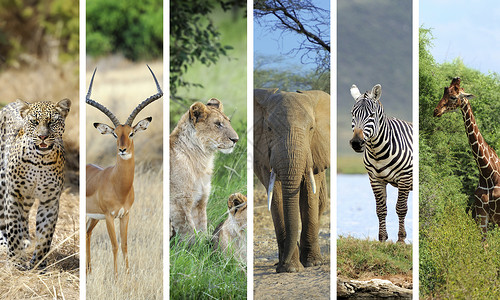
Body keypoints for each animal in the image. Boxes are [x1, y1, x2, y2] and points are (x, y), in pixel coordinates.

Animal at [0, 99, 71, 270]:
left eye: (52, 122)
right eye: (34, 122)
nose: (43, 136)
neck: (40, 161)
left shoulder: (50, 201)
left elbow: (45, 234)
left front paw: (39, 264)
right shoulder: (14, 195)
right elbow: (13, 227)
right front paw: (16, 261)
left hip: (28, 198)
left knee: (24, 217)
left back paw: (26, 239)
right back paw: (4, 244)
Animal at [170, 98, 240, 241]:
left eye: (228, 122)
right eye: (218, 124)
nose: (235, 139)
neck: (201, 159)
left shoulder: (200, 201)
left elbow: (202, 227)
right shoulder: (178, 203)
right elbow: (190, 234)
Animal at [254, 88, 328, 274]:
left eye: (311, 128)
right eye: (269, 128)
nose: (281, 265)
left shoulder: (315, 150)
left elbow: (309, 194)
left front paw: (312, 263)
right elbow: (276, 195)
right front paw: (290, 268)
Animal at [348, 83, 414, 243]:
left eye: (372, 115)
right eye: (352, 113)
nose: (356, 143)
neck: (377, 151)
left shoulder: (405, 177)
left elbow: (401, 208)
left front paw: (401, 240)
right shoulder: (375, 179)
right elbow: (381, 209)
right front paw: (383, 239)